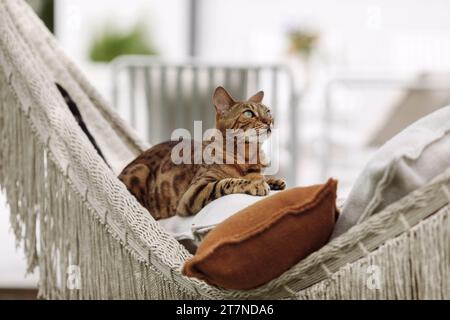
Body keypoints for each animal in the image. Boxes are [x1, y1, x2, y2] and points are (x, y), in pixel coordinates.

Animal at [118, 86, 284, 219]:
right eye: (248, 113)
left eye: (268, 112)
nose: (269, 121)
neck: (249, 156)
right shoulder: (194, 192)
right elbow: (227, 182)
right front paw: (255, 184)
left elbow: (260, 176)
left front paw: (272, 180)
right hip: (141, 170)